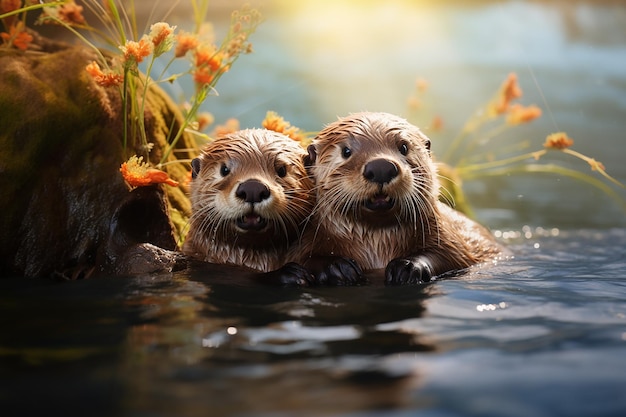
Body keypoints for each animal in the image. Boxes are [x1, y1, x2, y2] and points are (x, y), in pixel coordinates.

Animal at [302, 112, 502, 284]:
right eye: (346, 151)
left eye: (403, 147)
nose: (381, 167)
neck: (376, 245)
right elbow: (304, 257)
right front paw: (335, 267)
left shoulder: (448, 237)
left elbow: (451, 255)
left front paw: (408, 267)